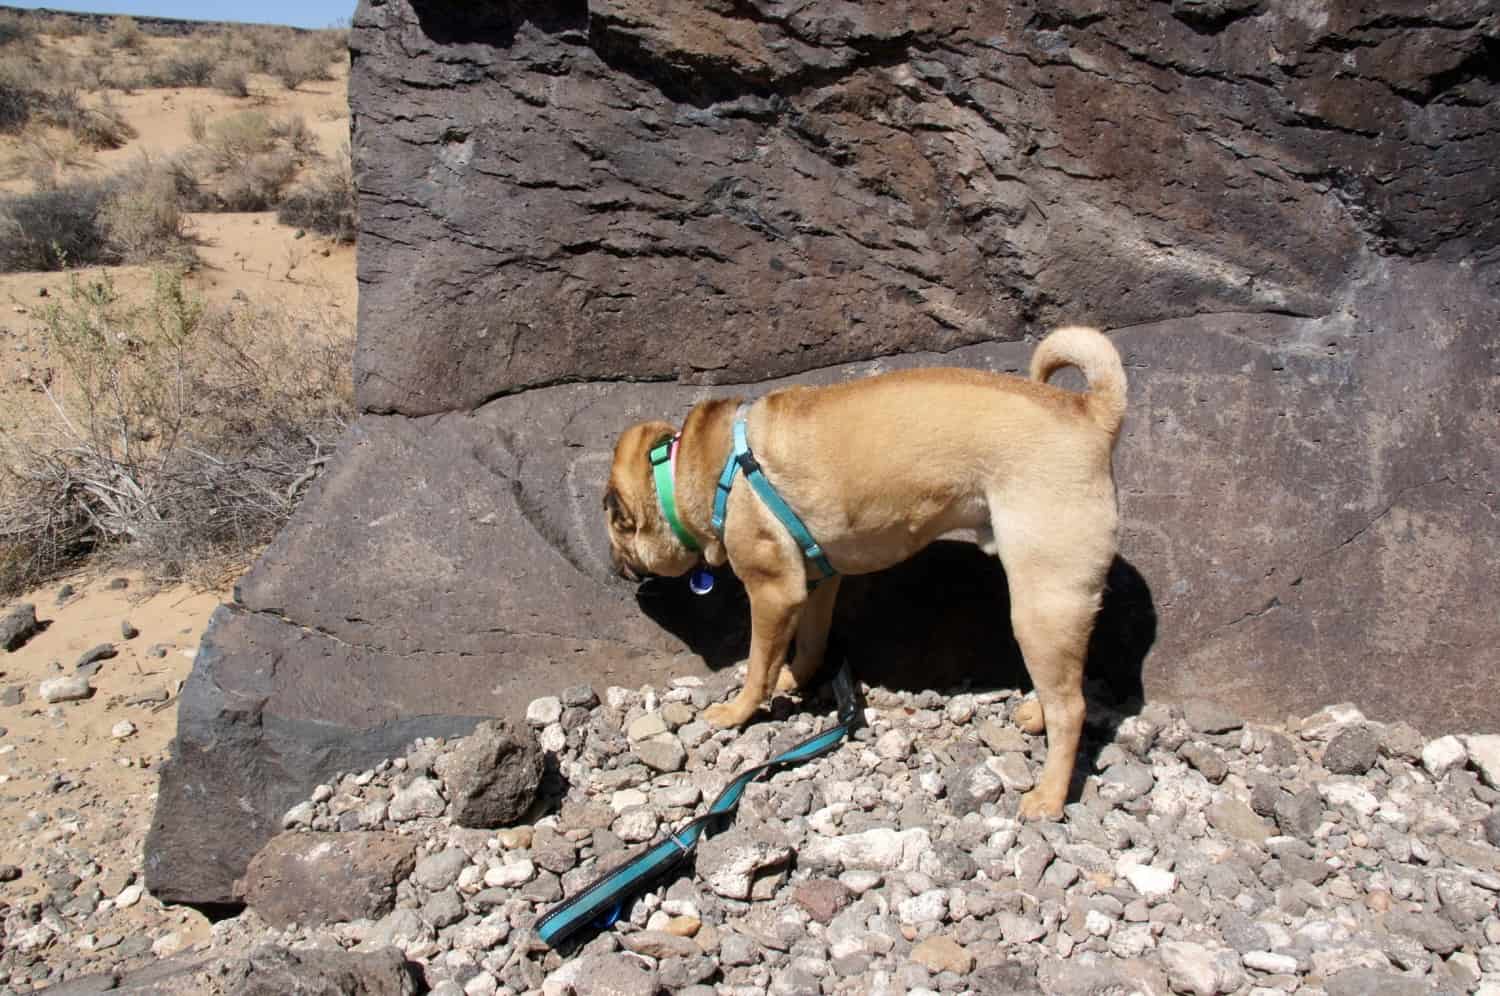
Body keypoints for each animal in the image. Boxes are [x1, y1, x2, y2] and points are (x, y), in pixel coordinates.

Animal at [600, 327, 1128, 816]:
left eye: (614, 524)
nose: (613, 563)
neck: (694, 471)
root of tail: (1093, 413)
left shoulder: (772, 592)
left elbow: (756, 664)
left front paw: (738, 711)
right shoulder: (814, 585)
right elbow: (808, 643)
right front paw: (794, 678)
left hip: (1042, 600)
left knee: (1071, 708)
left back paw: (1049, 796)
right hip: (1053, 608)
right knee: (1063, 684)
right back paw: (1035, 715)